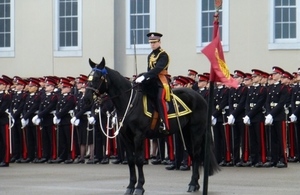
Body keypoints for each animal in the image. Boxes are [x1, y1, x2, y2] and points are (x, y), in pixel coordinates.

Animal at [83, 57, 219, 194]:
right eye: (89, 77)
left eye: (97, 78)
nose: (86, 99)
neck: (129, 103)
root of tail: (200, 98)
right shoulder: (125, 137)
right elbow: (131, 161)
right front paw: (130, 186)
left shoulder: (138, 136)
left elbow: (139, 160)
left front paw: (139, 187)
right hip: (185, 133)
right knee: (193, 154)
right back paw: (195, 184)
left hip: (196, 132)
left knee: (196, 155)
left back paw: (192, 184)